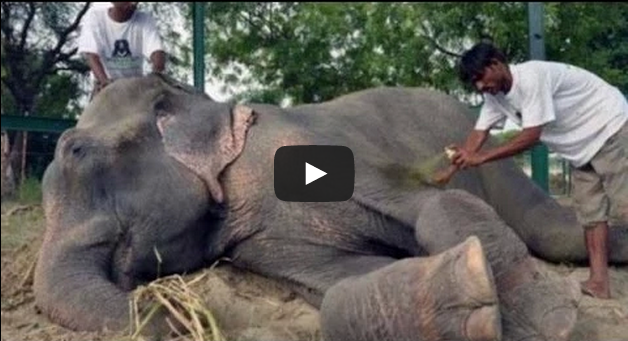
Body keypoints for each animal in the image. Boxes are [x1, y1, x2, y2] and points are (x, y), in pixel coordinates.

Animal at [33, 73, 628, 340]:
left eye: (76, 151)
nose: (175, 313)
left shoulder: (317, 149)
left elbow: (436, 204)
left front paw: (553, 324)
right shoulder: (258, 242)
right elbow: (338, 281)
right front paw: (467, 304)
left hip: (495, 163)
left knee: (552, 230)